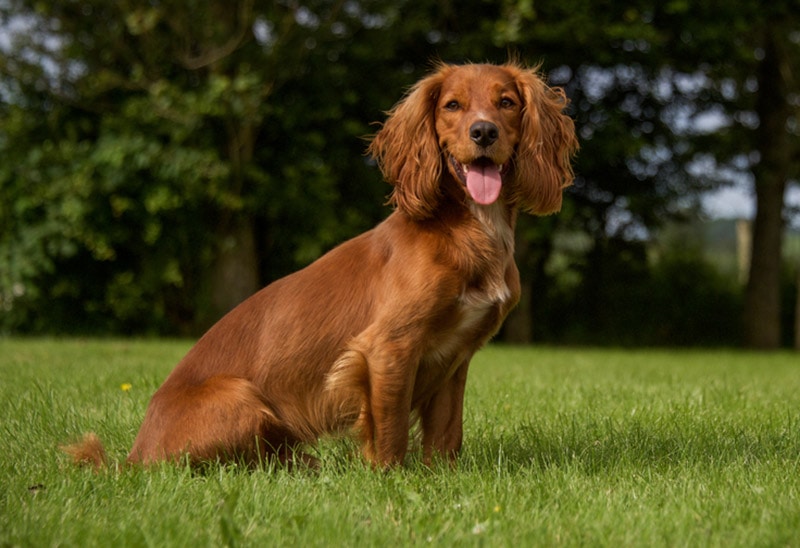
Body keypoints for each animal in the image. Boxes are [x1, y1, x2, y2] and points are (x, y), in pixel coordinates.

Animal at [62, 62, 576, 468]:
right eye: (452, 105)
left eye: (506, 102)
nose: (483, 132)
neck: (469, 226)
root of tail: (134, 456)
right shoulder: (388, 348)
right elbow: (390, 432)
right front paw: (392, 482)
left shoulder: (456, 357)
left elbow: (448, 434)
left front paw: (442, 480)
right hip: (242, 398)